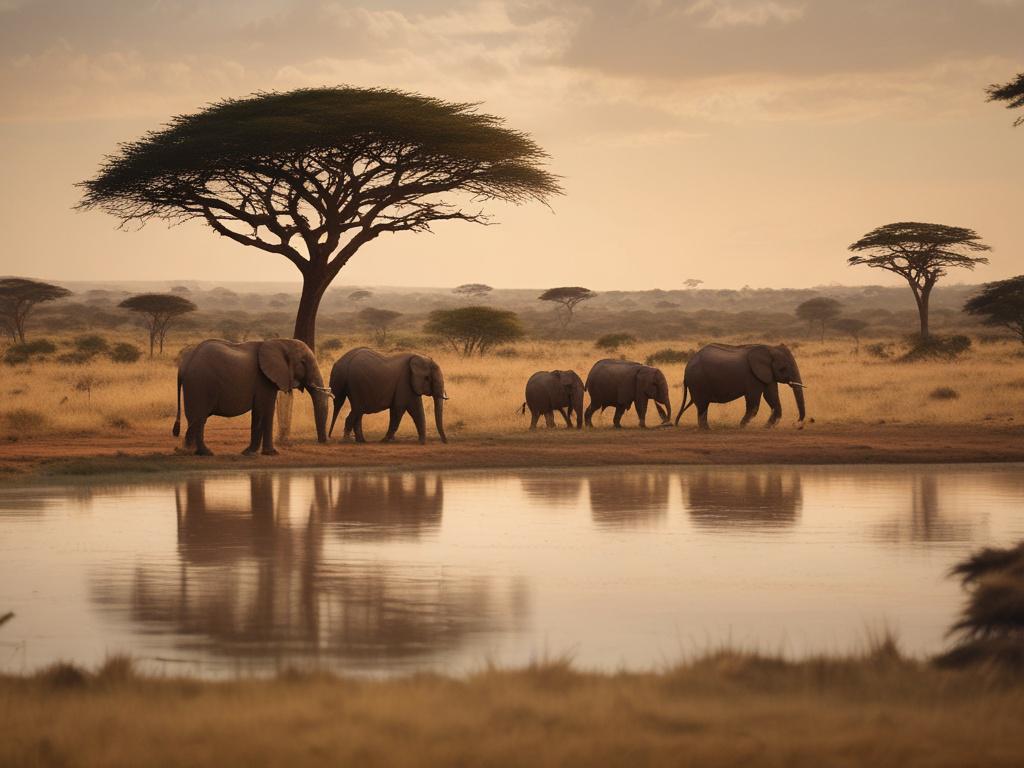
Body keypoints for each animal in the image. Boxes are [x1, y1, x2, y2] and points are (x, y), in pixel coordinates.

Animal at [173, 338, 329, 456]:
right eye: (303, 362)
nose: (323, 441)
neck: (281, 342)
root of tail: (184, 365)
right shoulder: (264, 381)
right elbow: (264, 410)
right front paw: (270, 453)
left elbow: (258, 412)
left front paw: (249, 453)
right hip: (200, 384)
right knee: (200, 418)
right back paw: (205, 453)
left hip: (195, 386)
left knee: (193, 418)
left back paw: (186, 451)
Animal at [674, 343, 806, 430]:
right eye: (783, 369)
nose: (797, 423)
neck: (769, 349)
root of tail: (687, 368)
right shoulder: (752, 376)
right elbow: (754, 403)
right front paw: (742, 427)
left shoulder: (768, 374)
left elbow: (772, 397)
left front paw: (767, 427)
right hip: (698, 381)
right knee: (702, 406)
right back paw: (706, 429)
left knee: (702, 406)